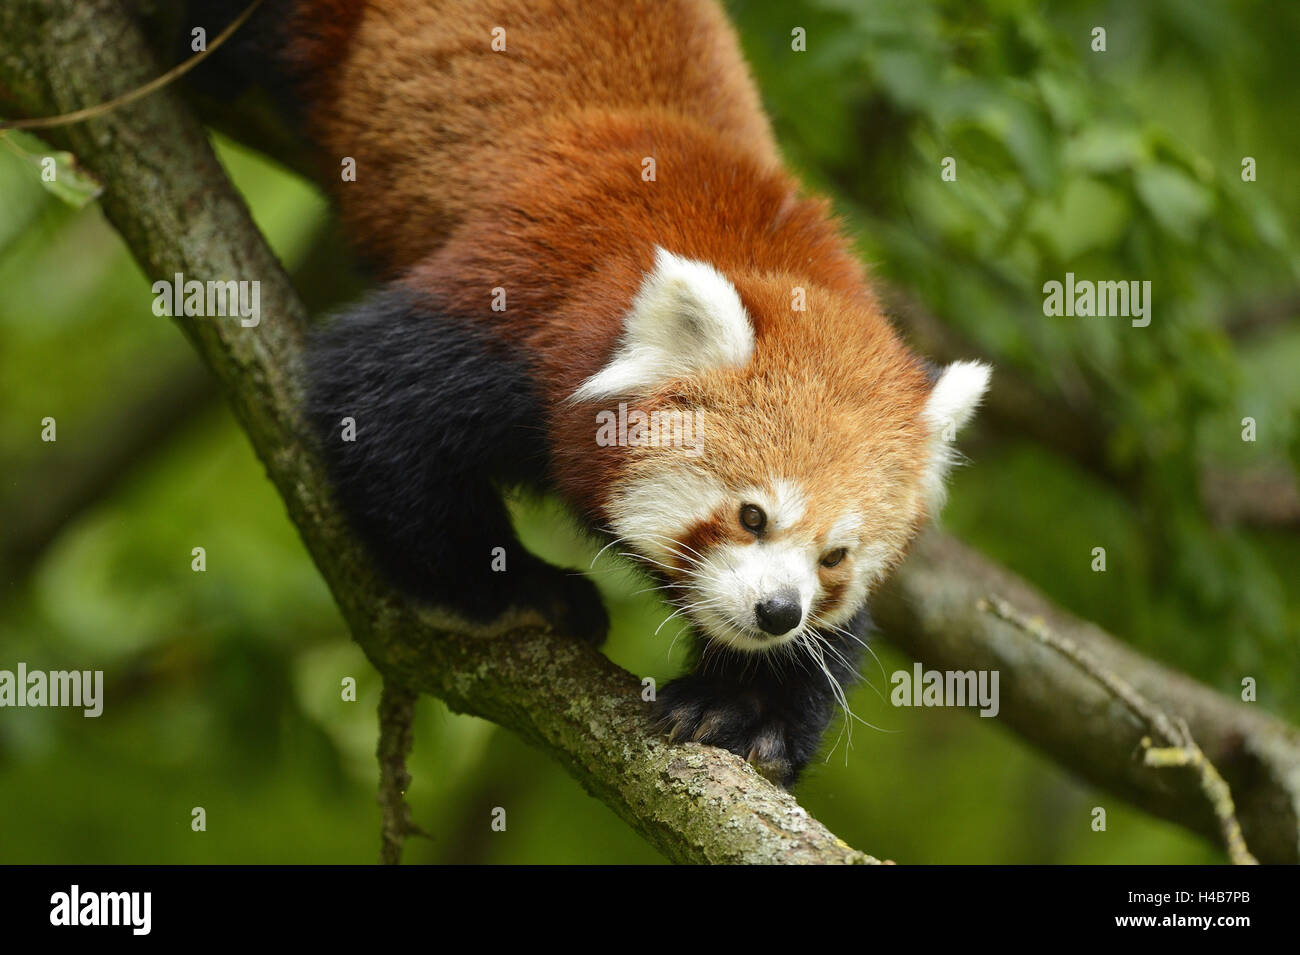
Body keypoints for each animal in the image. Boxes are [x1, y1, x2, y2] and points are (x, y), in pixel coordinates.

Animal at [205, 0, 993, 784]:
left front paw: (746, 706)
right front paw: (514, 589)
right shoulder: (520, 305)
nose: (779, 612)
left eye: (836, 558)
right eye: (752, 516)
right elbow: (375, 403)